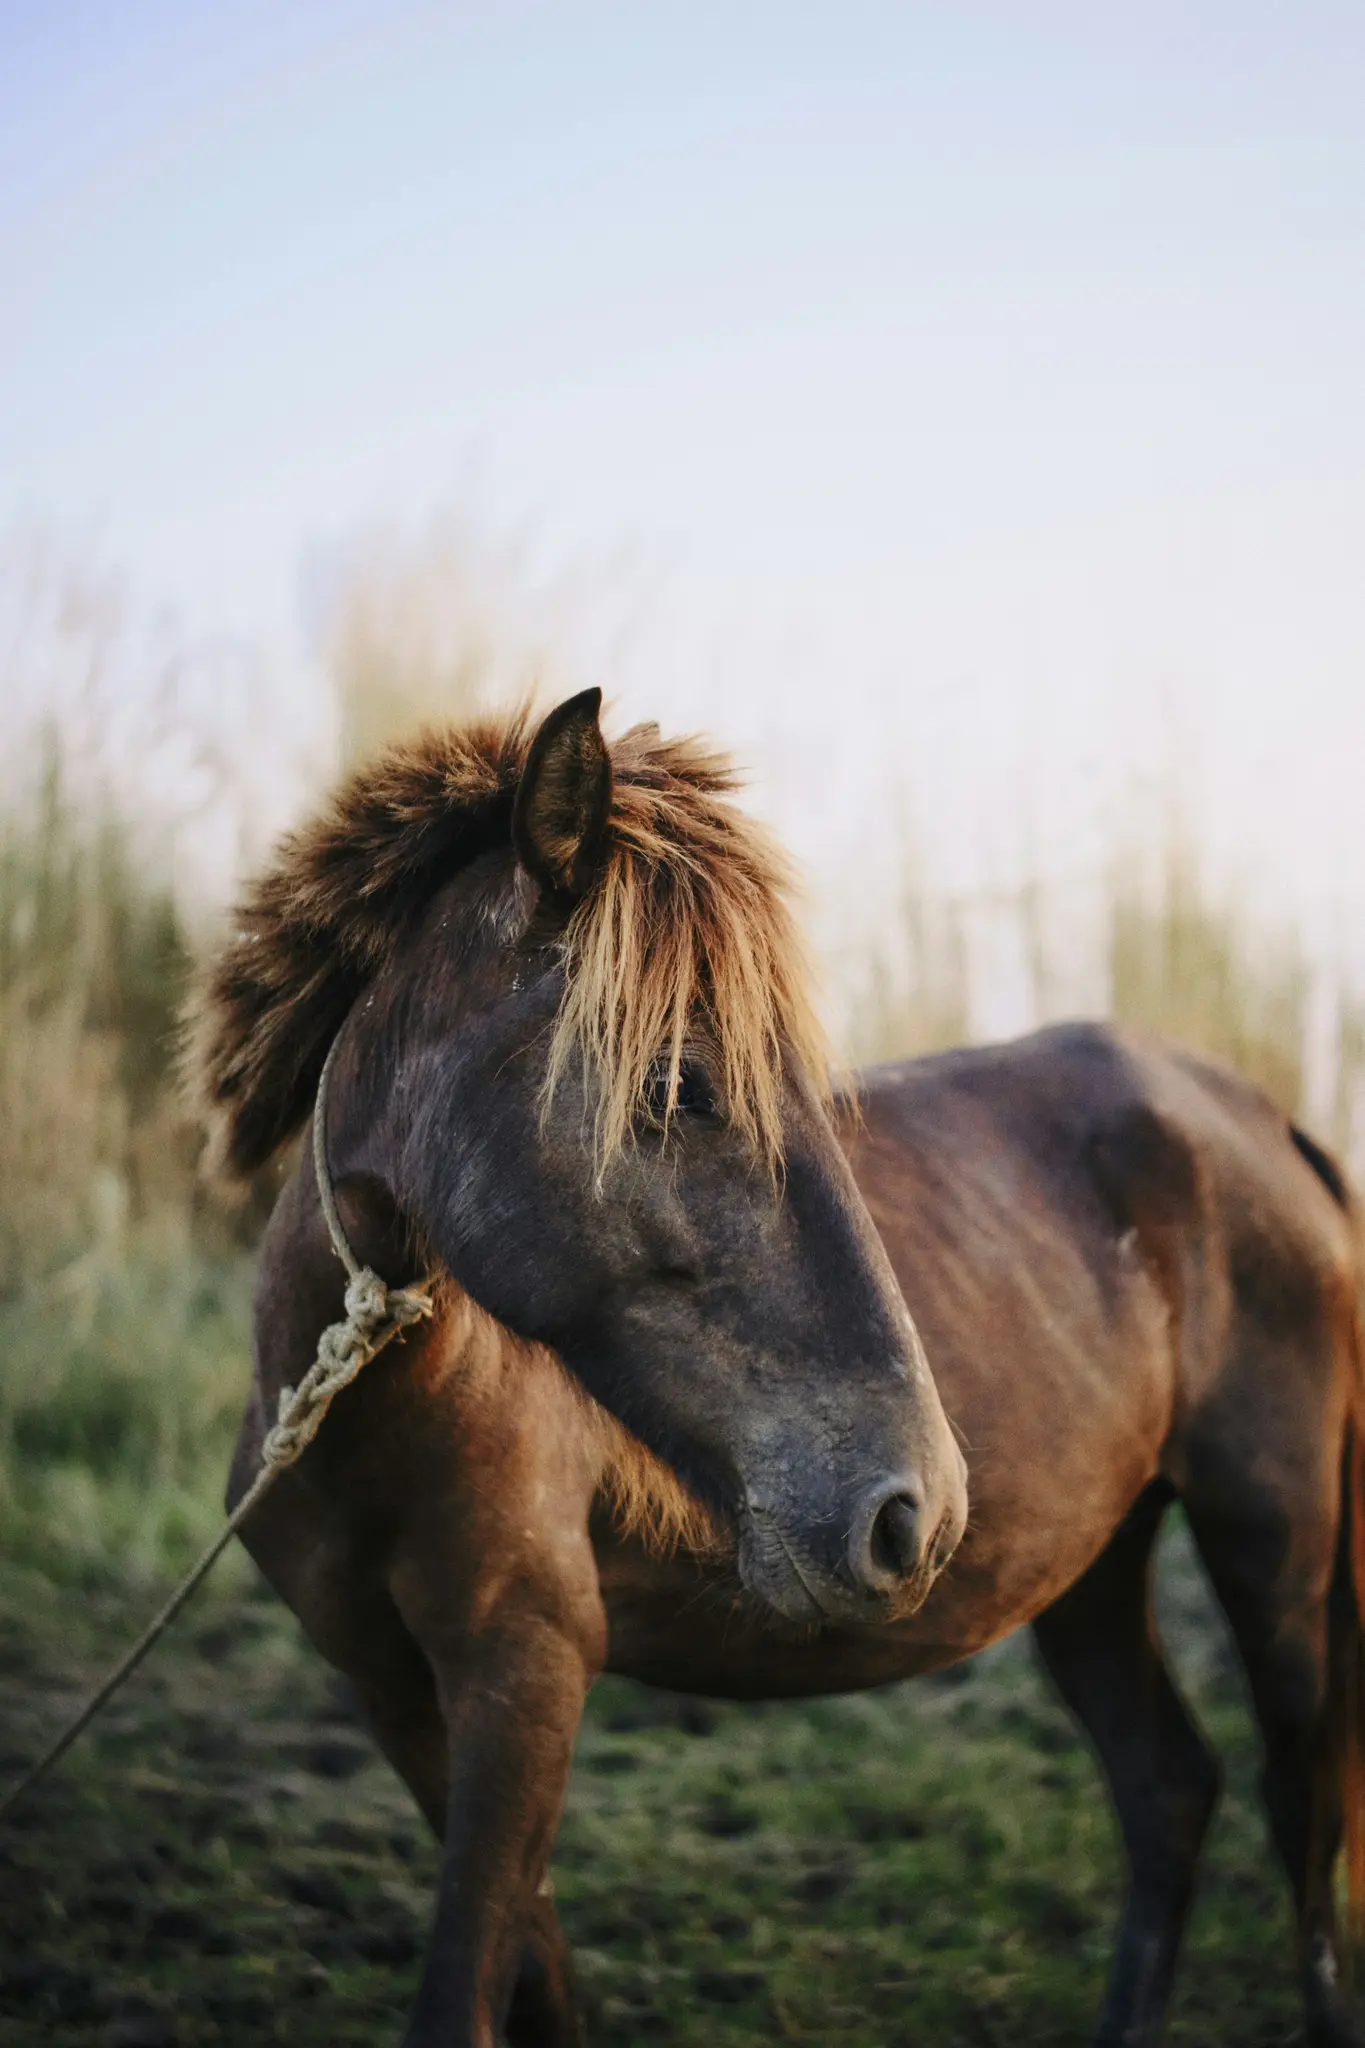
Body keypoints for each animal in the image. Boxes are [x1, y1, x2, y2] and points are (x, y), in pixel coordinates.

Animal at [187, 688, 1365, 2048]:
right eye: (674, 1080)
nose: (918, 1509)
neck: (350, 1418)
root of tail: (1265, 1119)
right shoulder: (393, 1687)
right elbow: (530, 1972)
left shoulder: (524, 1672)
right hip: (1094, 1567)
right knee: (1170, 1787)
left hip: (1274, 1547)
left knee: (1304, 1820)